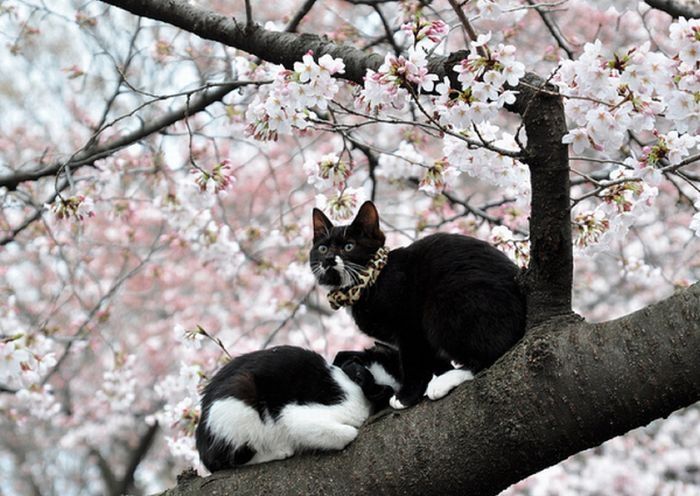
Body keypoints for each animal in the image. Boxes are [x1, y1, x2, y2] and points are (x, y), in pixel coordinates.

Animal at [197, 342, 402, 470]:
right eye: (358, 372)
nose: (358, 374)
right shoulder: (296, 416)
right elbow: (348, 433)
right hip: (238, 403)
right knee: (231, 459)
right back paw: (280, 451)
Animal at [310, 202, 524, 410]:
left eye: (349, 246)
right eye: (322, 249)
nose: (328, 259)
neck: (369, 282)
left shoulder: (409, 324)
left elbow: (413, 359)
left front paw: (406, 397)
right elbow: (431, 358)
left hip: (447, 303)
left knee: (491, 351)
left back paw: (445, 382)